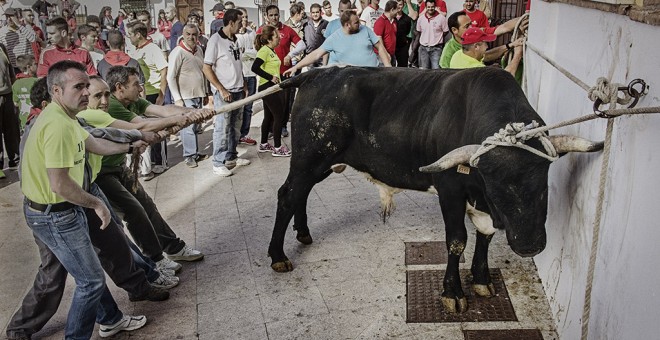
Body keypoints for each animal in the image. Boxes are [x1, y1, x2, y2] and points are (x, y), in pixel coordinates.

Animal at [266, 65, 600, 312]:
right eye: (496, 186)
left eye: (543, 183)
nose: (529, 245)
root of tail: (316, 73)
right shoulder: (451, 189)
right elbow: (457, 241)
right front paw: (453, 293)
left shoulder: (480, 203)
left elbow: (485, 234)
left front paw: (481, 280)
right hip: (309, 158)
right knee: (288, 195)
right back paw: (278, 255)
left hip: (320, 164)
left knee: (301, 194)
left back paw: (303, 232)